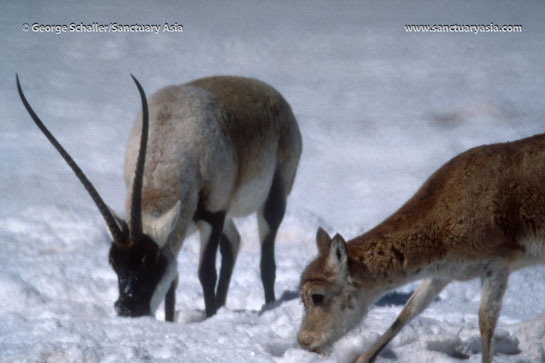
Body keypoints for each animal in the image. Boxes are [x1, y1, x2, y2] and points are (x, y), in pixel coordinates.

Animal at [17, 73, 302, 322]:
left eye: (149, 259)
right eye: (114, 262)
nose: (128, 308)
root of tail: (273, 96)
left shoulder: (213, 213)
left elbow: (206, 273)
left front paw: (208, 319)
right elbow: (172, 282)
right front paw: (169, 322)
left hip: (271, 198)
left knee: (266, 261)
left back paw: (266, 306)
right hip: (225, 216)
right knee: (233, 242)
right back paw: (221, 307)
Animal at [298, 132, 544, 362]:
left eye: (317, 296)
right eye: (300, 297)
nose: (302, 341)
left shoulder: (498, 263)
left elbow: (486, 320)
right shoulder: (443, 273)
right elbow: (409, 309)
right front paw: (362, 358)